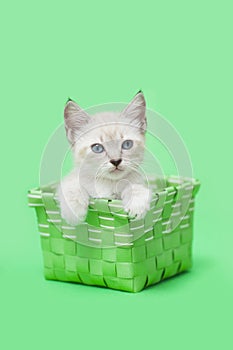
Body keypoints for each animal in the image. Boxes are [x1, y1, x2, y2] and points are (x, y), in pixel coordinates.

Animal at [57, 91, 152, 226]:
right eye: (97, 148)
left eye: (127, 144)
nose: (116, 161)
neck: (109, 184)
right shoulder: (72, 178)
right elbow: (70, 186)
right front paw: (74, 212)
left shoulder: (139, 182)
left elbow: (136, 188)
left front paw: (136, 204)